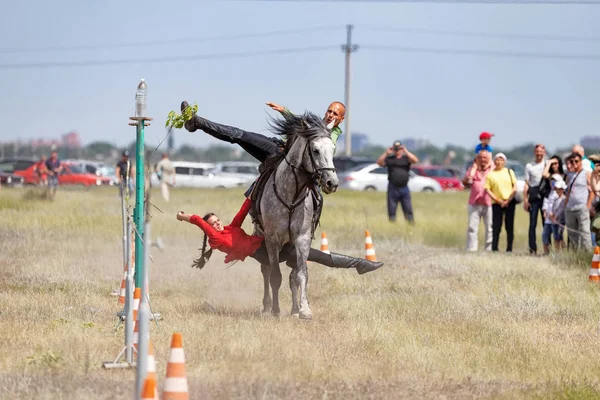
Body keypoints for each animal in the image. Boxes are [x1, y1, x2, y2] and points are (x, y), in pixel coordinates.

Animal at [251, 109, 340, 318]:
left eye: (333, 149)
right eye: (315, 150)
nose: (332, 183)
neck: (291, 194)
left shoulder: (302, 239)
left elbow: (301, 274)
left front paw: (304, 309)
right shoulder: (272, 239)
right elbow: (275, 275)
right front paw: (275, 310)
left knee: (293, 275)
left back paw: (294, 309)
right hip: (261, 235)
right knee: (266, 269)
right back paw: (267, 306)